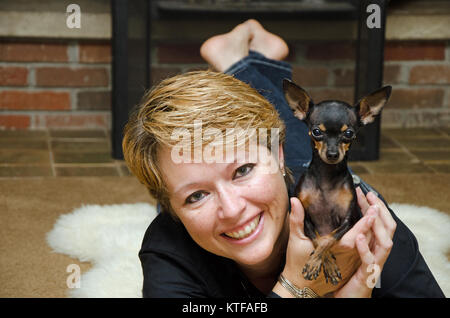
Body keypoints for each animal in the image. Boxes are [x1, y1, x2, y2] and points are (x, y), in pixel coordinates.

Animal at [284, 79, 390, 286]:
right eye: (316, 132)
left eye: (348, 133)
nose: (332, 154)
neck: (327, 175)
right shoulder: (306, 219)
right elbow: (320, 239)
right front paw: (322, 264)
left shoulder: (348, 221)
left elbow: (328, 239)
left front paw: (326, 265)